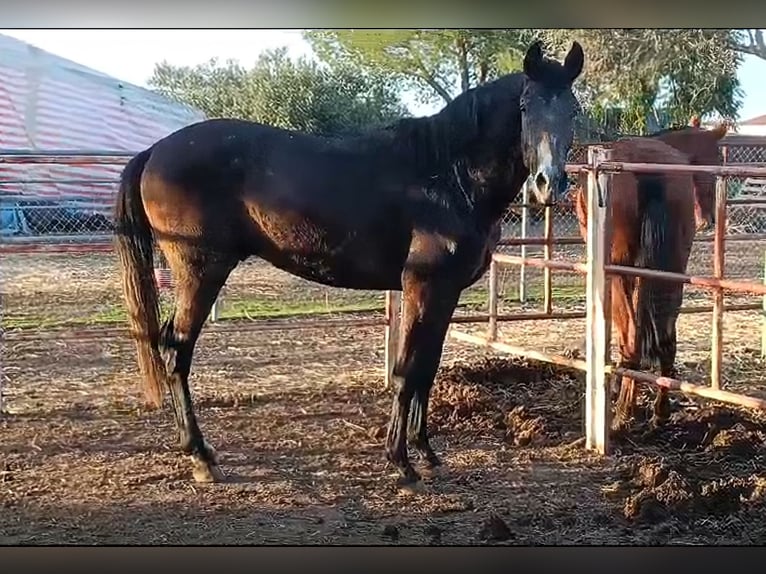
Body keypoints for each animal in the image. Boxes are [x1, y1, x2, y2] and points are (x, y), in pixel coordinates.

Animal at [112, 41, 584, 490]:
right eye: (525, 106)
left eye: (573, 109)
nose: (549, 183)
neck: (449, 173)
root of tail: (154, 151)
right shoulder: (422, 285)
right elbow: (406, 371)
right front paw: (401, 463)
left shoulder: (446, 292)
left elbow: (428, 369)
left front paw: (427, 454)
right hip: (200, 272)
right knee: (176, 349)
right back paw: (201, 457)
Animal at [572, 136, 700, 432]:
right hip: (671, 269)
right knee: (665, 338)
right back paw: (659, 413)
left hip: (620, 268)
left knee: (632, 337)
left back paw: (621, 415)